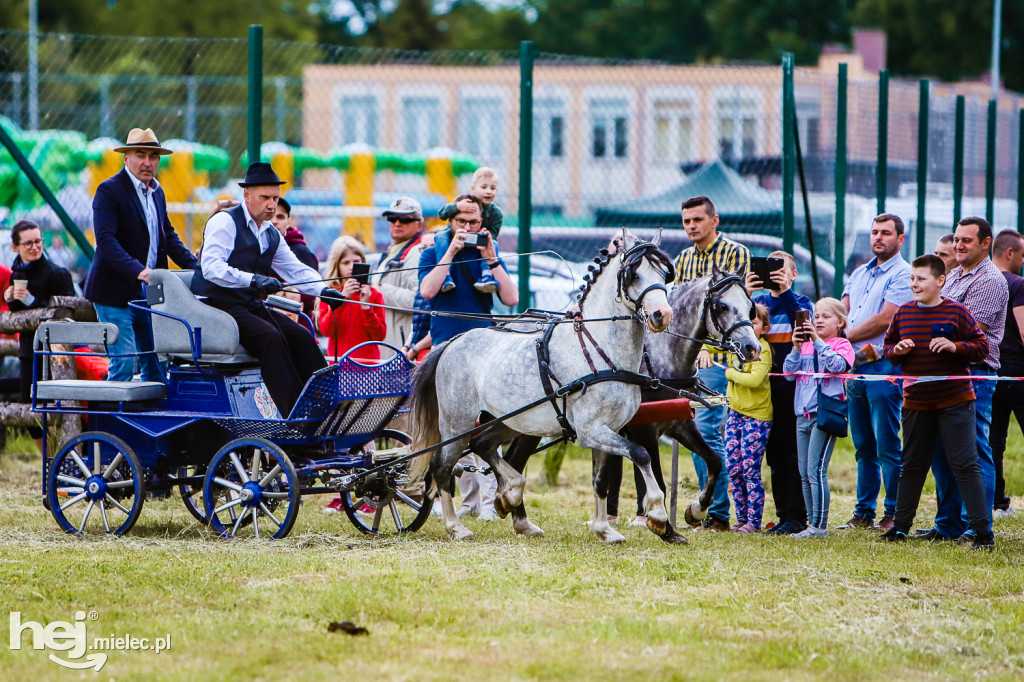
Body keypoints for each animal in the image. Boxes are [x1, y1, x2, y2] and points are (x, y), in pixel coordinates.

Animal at [407, 231, 679, 540]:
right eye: (634, 275)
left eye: (664, 273)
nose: (662, 314)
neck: (601, 352)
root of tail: (452, 342)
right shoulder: (591, 431)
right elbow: (641, 454)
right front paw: (657, 515)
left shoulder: (606, 430)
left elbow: (600, 481)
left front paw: (604, 530)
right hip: (457, 423)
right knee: (442, 467)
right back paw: (456, 527)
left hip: (510, 421)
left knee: (483, 445)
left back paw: (510, 497)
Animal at [503, 264, 761, 540]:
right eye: (722, 306)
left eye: (750, 306)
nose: (752, 348)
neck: (659, 359)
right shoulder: (644, 430)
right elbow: (659, 481)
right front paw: (664, 527)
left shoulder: (678, 423)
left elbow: (715, 460)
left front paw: (696, 510)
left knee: (513, 462)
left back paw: (516, 516)